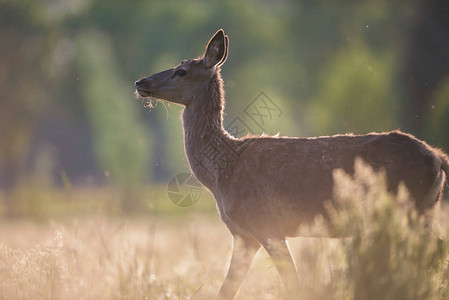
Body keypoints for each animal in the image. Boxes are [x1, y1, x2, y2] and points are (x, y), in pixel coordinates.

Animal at [134, 28, 448, 300]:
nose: (140, 83)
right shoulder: (244, 235)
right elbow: (227, 290)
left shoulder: (267, 224)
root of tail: (438, 157)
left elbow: (293, 284)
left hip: (413, 209)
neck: (221, 174)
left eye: (182, 71)